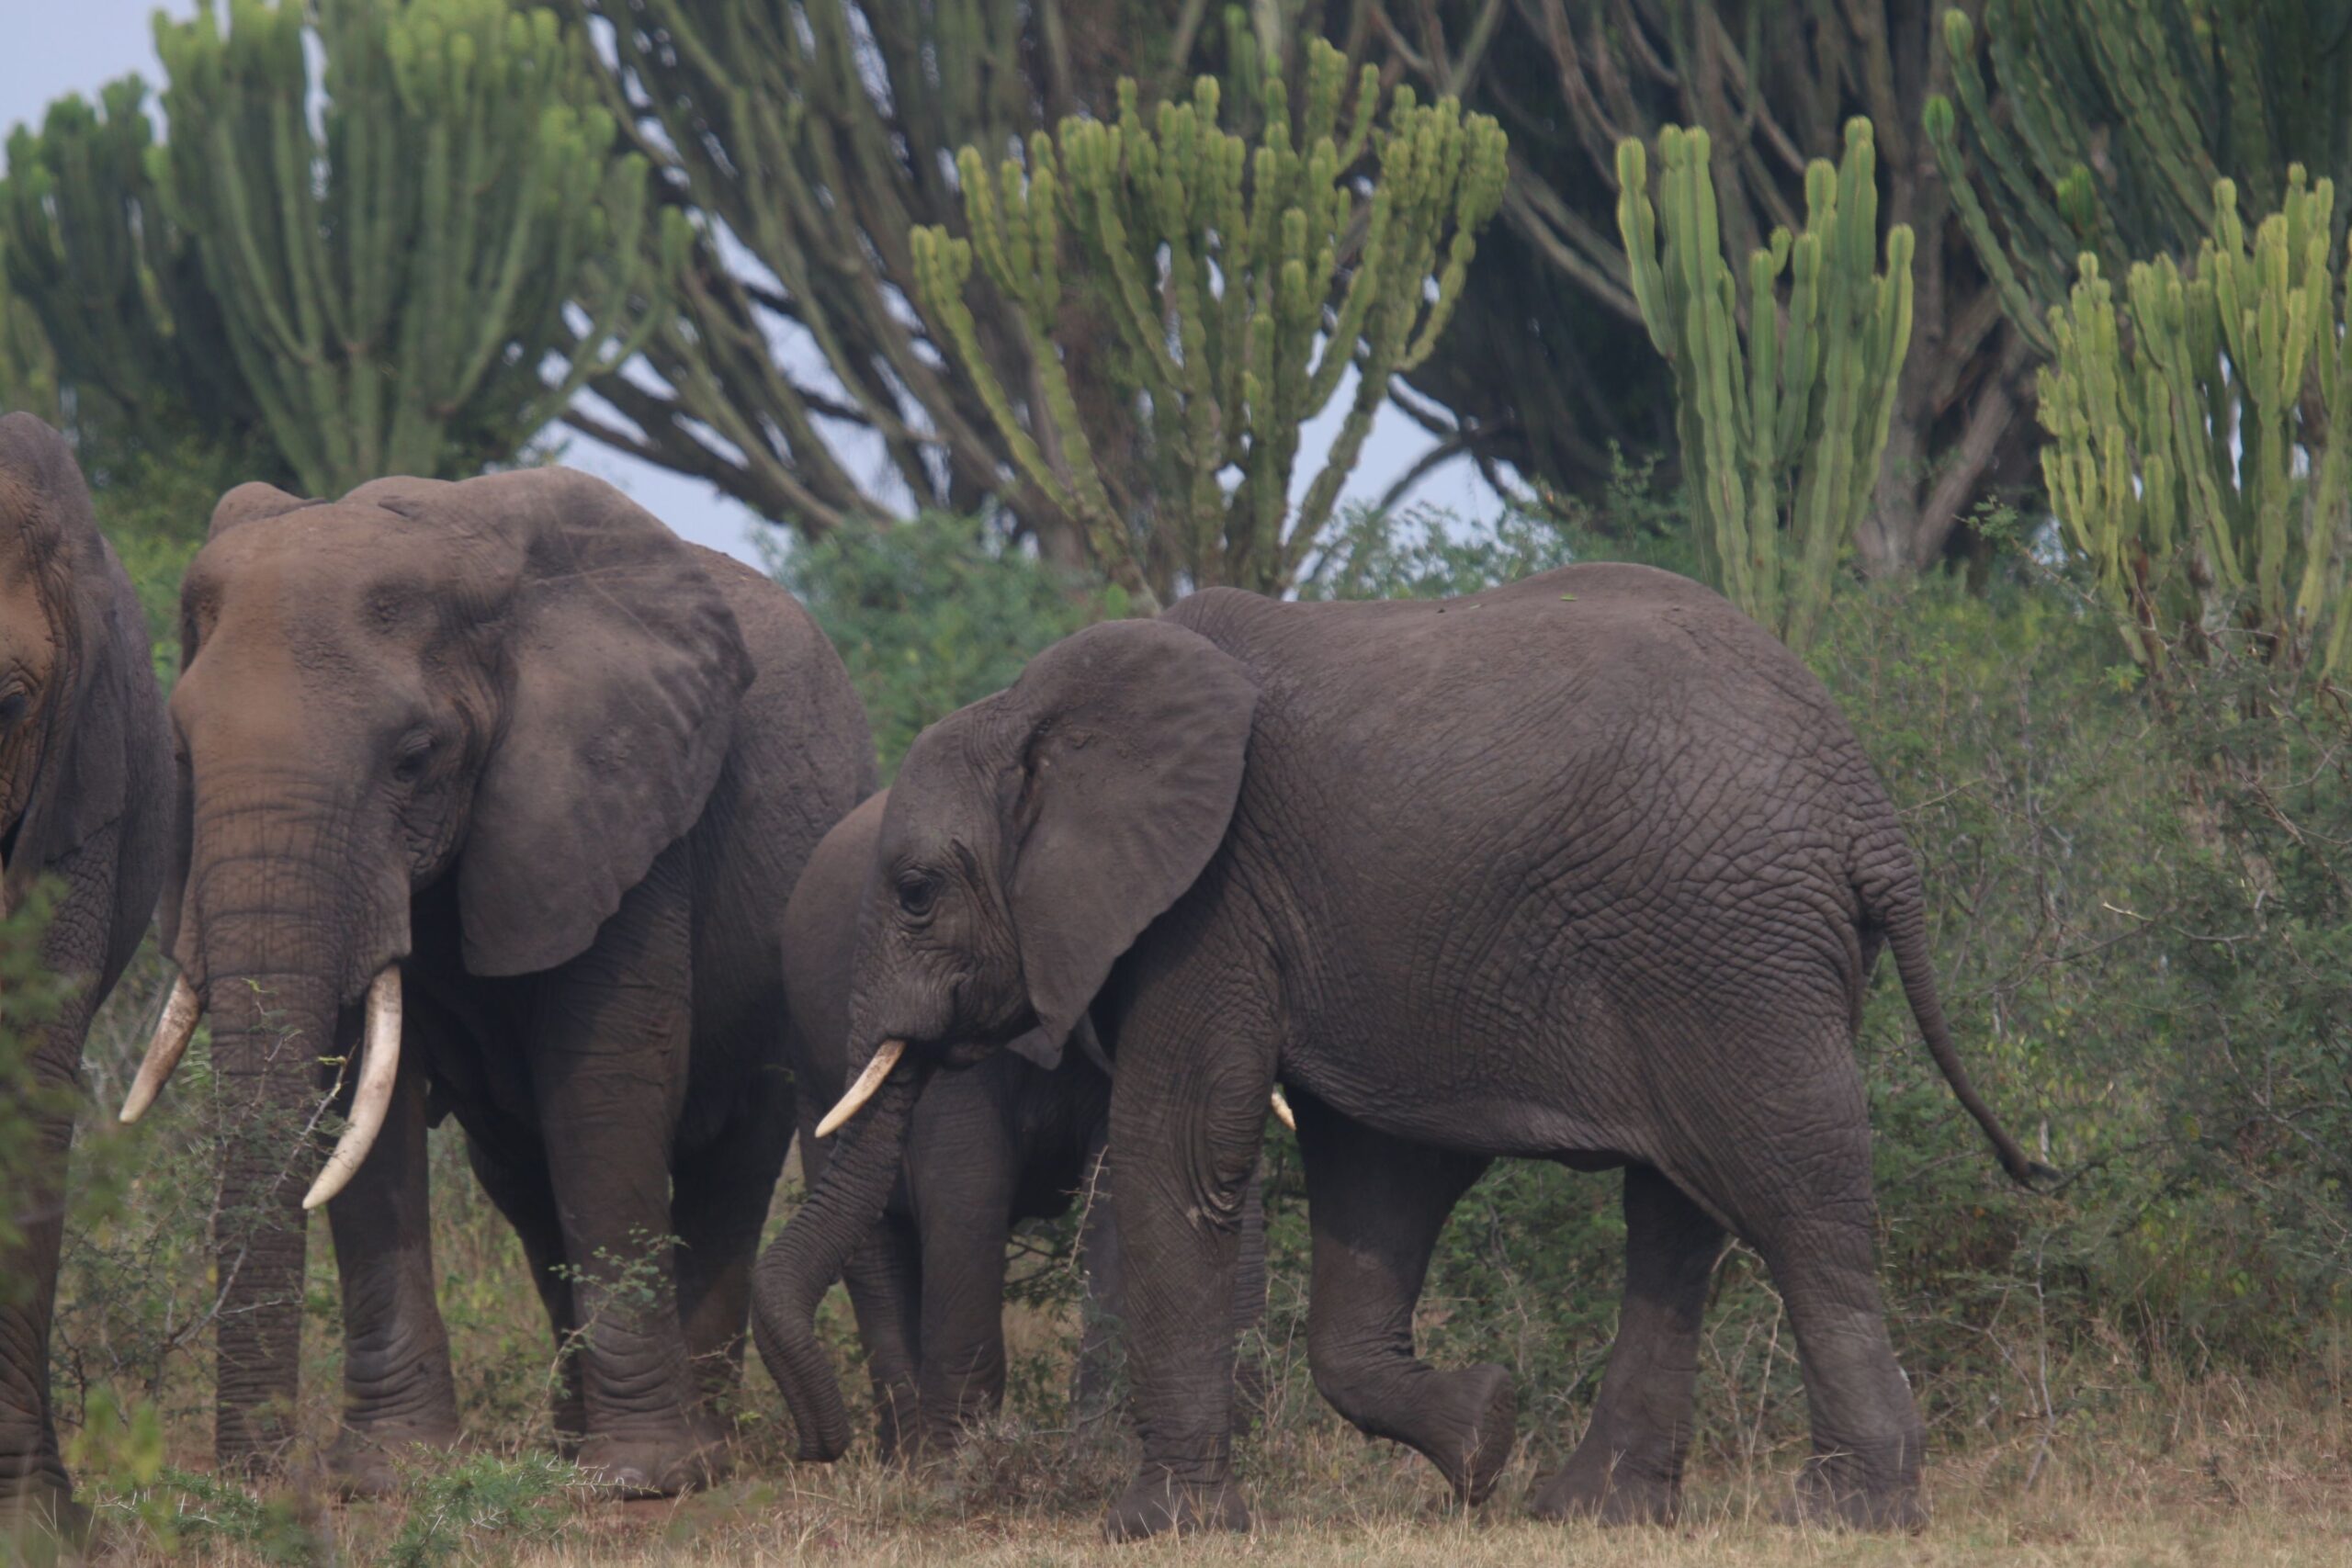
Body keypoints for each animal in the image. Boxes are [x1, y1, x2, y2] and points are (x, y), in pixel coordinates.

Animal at [115, 468, 873, 1498]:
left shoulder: (620, 797)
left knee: (731, 1158)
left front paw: (639, 1480)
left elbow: (602, 1086)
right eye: (182, 758)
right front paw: (388, 1475)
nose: (260, 1477)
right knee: (520, 1173)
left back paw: (701, 1450)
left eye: (413, 759)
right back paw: (570, 1439)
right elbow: (364, 1107)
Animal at [778, 790, 1268, 1462]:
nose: (811, 1448)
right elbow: (967, 1192)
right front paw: (958, 1465)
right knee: (875, 1249)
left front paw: (1097, 1451)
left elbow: (1119, 1192)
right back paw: (909, 1462)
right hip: (810, 1063)